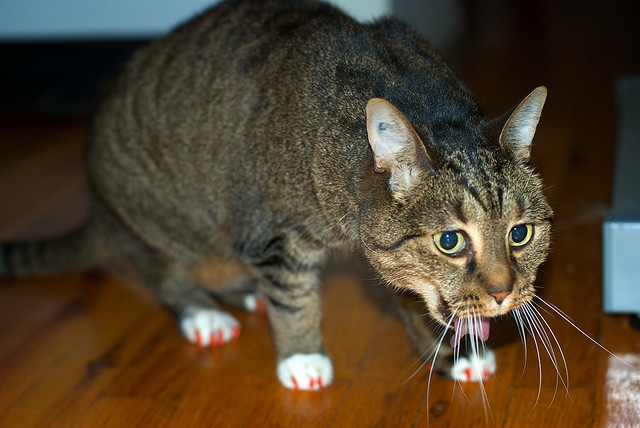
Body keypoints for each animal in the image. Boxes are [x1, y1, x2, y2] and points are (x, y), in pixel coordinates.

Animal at [0, 0, 552, 390]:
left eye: (520, 234)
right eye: (450, 242)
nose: (503, 294)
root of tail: (97, 210)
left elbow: (420, 297)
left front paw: (456, 350)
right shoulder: (273, 237)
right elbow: (294, 297)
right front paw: (302, 354)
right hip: (160, 224)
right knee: (165, 276)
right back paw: (205, 312)